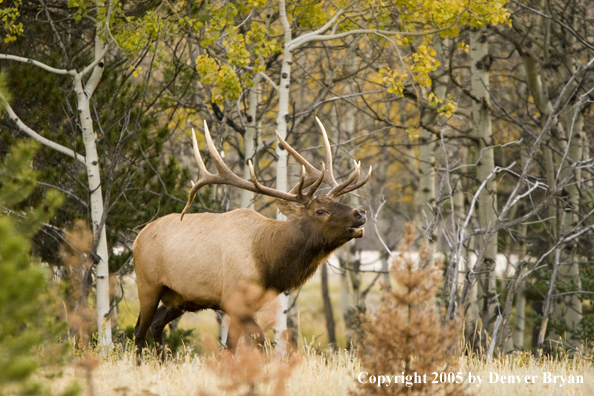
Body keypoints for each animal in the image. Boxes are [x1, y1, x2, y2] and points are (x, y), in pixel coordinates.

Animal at [134, 118, 370, 366]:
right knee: (140, 329)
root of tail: (138, 237)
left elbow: (230, 348)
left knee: (156, 323)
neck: (268, 263)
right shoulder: (232, 300)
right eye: (321, 211)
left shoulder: (248, 304)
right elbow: (259, 339)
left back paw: (163, 362)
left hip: (180, 298)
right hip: (148, 284)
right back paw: (140, 365)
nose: (360, 213)